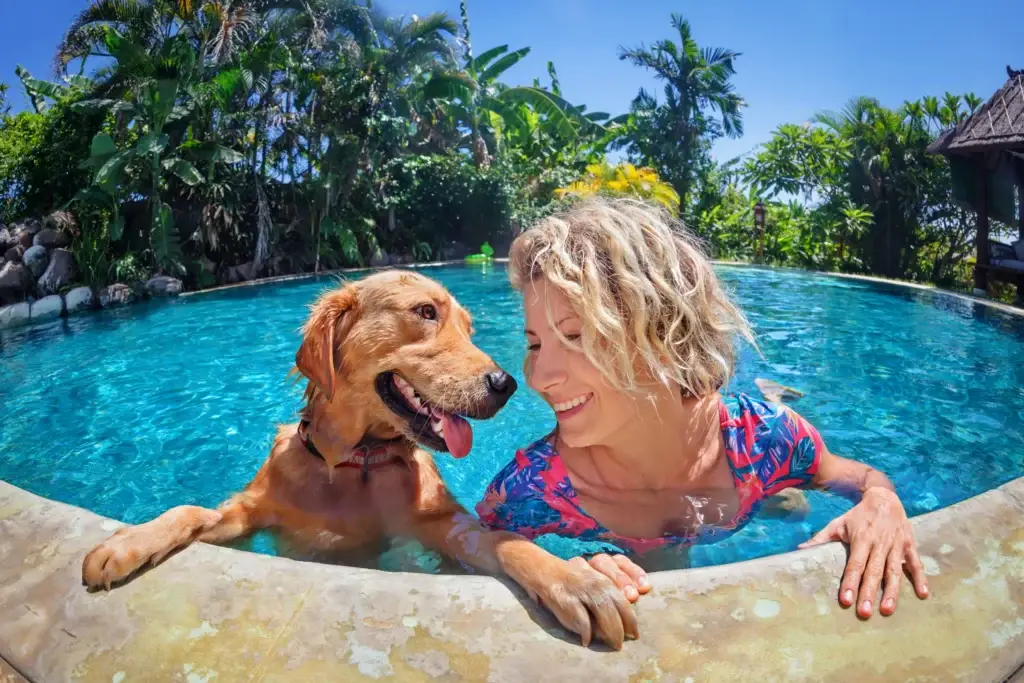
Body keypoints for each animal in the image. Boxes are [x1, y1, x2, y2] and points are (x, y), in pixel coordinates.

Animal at [81, 270, 638, 651]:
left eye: (468, 327)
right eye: (425, 312)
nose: (505, 384)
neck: (353, 464)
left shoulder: (444, 526)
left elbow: (505, 541)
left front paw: (576, 581)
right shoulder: (248, 514)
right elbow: (190, 511)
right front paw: (127, 542)